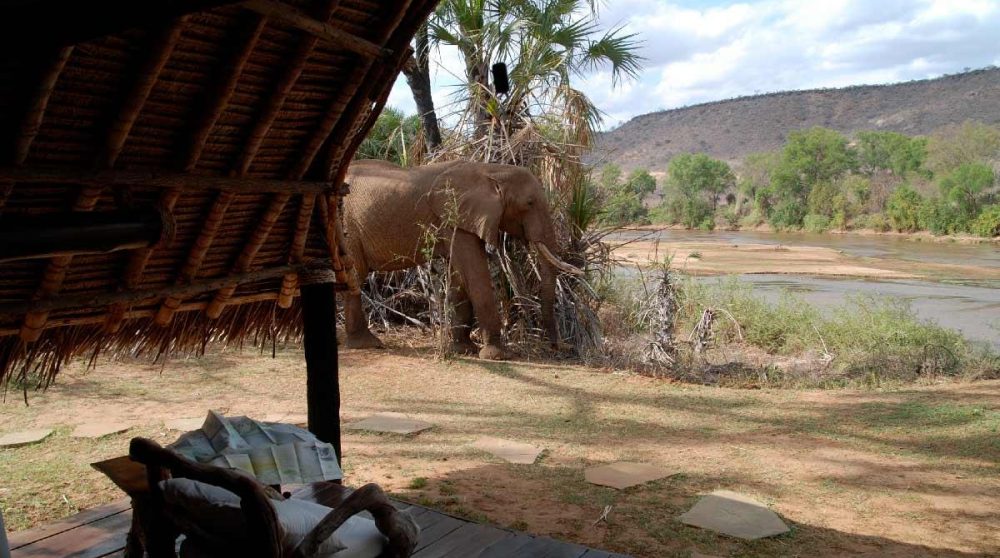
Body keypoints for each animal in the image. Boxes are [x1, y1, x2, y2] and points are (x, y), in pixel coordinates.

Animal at [341, 159, 583, 360]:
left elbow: (459, 277)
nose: (557, 348)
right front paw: (498, 356)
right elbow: (475, 275)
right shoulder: (456, 218)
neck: (490, 170)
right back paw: (366, 344)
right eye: (530, 203)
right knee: (355, 276)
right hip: (347, 229)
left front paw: (464, 350)